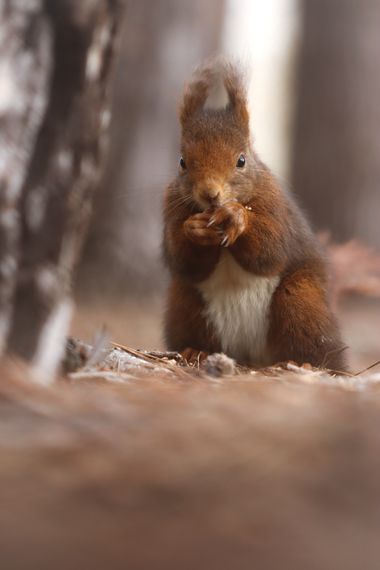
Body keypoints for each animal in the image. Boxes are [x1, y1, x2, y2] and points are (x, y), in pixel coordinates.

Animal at [162, 61, 346, 368]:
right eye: (182, 162)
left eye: (241, 160)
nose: (210, 194)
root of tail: (252, 358)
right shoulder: (170, 208)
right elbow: (184, 259)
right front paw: (194, 229)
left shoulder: (276, 205)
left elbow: (271, 249)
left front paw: (238, 217)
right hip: (185, 305)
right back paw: (195, 351)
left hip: (301, 302)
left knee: (319, 351)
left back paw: (302, 363)